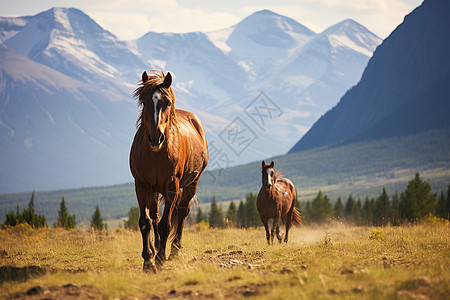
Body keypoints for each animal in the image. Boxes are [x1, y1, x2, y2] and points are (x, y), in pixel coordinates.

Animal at [129, 71, 208, 272]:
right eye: (144, 101)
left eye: (168, 102)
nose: (156, 138)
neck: (155, 155)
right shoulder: (141, 185)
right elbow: (146, 222)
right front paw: (148, 259)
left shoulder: (172, 187)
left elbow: (166, 224)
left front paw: (159, 259)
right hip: (155, 190)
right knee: (155, 216)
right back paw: (157, 246)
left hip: (191, 184)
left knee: (182, 211)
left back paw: (173, 250)